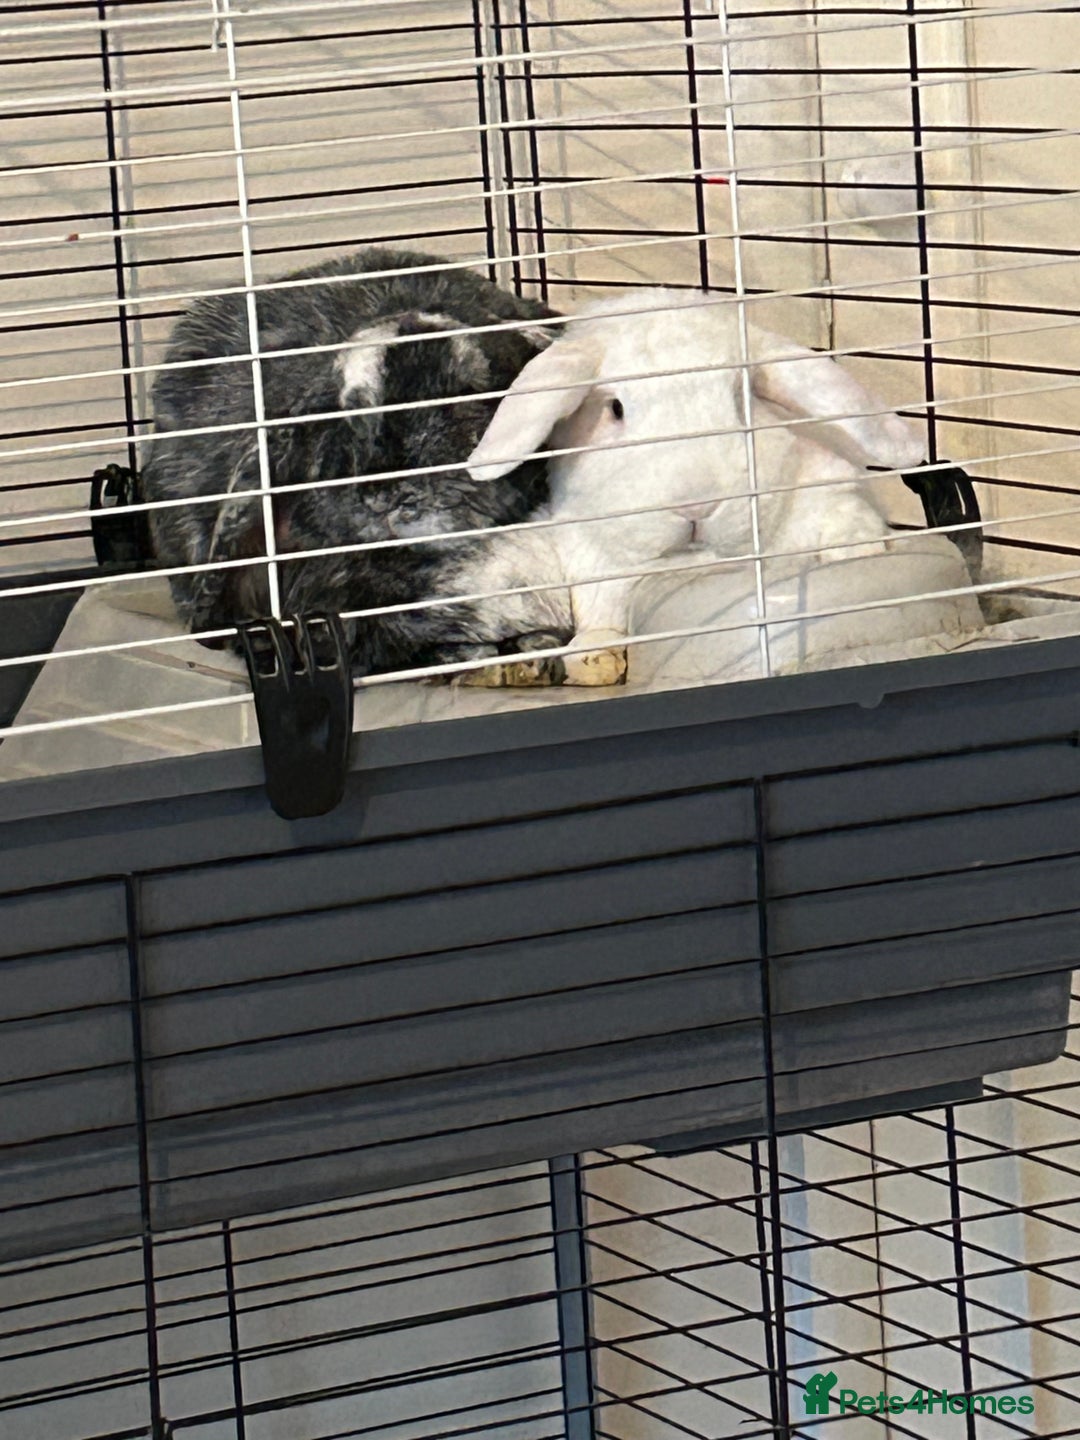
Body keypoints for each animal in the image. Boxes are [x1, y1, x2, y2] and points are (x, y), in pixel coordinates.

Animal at [456, 287, 933, 686]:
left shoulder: (831, 491)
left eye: (743, 399)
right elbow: (602, 621)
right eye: (615, 409)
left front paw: (854, 552)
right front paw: (593, 657)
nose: (697, 506)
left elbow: (847, 520)